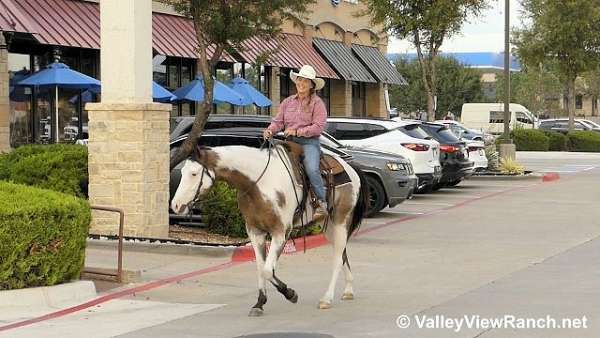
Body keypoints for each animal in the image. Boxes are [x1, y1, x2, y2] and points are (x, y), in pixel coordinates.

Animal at [170, 141, 370, 316]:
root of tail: (351, 168)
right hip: (327, 226)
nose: (176, 205)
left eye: (194, 173)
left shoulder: (281, 232)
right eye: (184, 171)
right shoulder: (255, 232)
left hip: (341, 221)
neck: (259, 184)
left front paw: (290, 294)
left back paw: (326, 299)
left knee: (337, 258)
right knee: (342, 254)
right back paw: (348, 290)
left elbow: (267, 270)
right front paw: (259, 304)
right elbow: (262, 268)